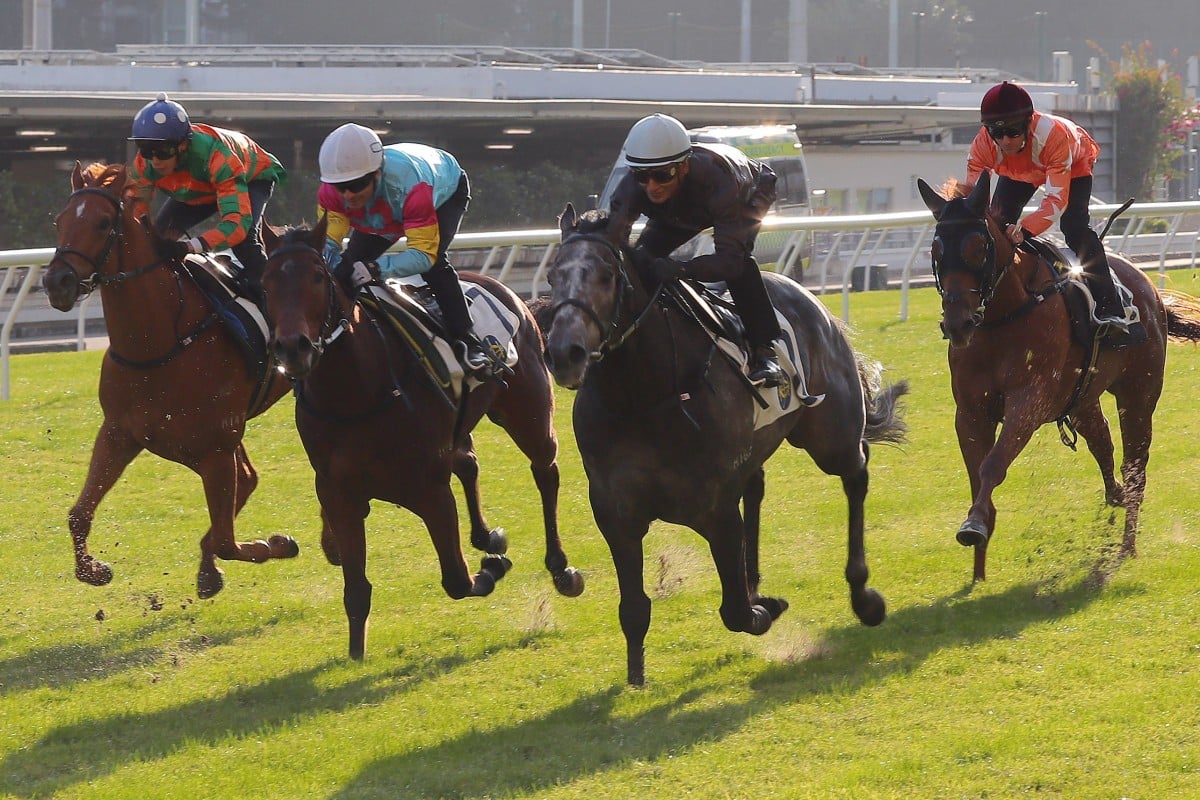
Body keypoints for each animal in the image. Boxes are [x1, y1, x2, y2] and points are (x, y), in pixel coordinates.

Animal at [41, 163, 298, 599]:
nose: (57, 282)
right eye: (59, 221)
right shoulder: (119, 433)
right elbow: (79, 513)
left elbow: (228, 541)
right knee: (247, 480)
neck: (158, 343)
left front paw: (275, 544)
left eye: (102, 222)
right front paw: (93, 569)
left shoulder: (215, 446)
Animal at [260, 215, 583, 662]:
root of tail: (506, 292)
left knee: (545, 472)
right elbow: (355, 587)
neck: (357, 392)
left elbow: (457, 580)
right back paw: (487, 535)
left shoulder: (430, 488)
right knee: (468, 461)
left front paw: (493, 566)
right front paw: (355, 654)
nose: (293, 347)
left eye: (317, 277)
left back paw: (560, 567)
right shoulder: (338, 491)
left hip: (529, 414)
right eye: (267, 280)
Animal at [540, 203, 902, 686]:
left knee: (856, 473)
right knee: (759, 487)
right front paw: (636, 679)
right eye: (552, 276)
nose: (565, 353)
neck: (643, 395)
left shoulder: (715, 508)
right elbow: (633, 608)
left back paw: (862, 595)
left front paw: (763, 608)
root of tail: (810, 299)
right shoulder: (615, 513)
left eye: (606, 276)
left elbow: (735, 611)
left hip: (831, 437)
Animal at [916, 173, 1200, 582]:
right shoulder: (969, 412)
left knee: (1135, 467)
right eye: (936, 250)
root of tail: (1148, 287)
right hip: (1082, 400)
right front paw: (978, 567)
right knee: (1104, 446)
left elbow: (993, 464)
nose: (958, 323)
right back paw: (1114, 497)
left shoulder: (1028, 403)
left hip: (1138, 395)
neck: (1003, 317)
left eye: (978, 248)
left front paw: (974, 526)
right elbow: (976, 473)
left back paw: (1127, 547)